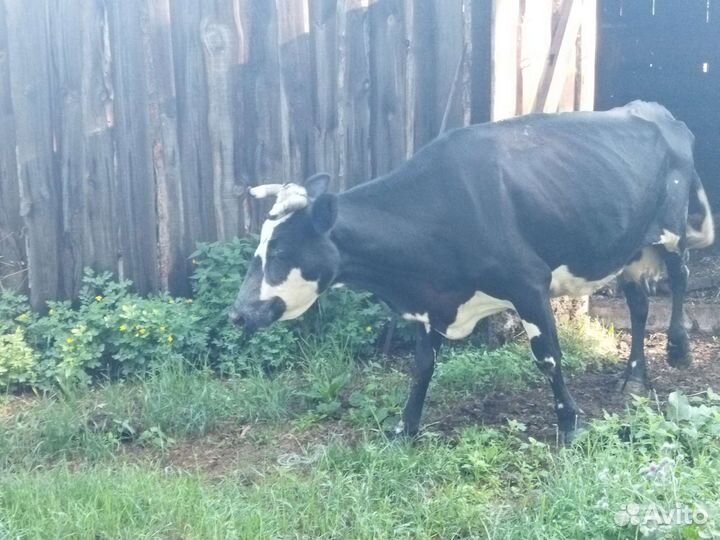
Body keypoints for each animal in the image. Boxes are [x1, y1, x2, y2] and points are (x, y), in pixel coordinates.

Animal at [229, 101, 715, 439]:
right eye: (259, 248)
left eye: (280, 251)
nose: (237, 313)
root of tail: (656, 111)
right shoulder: (431, 299)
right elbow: (422, 365)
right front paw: (404, 429)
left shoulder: (528, 283)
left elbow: (548, 356)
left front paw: (570, 424)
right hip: (628, 246)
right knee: (638, 303)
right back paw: (634, 377)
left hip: (670, 230)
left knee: (680, 278)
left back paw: (678, 349)